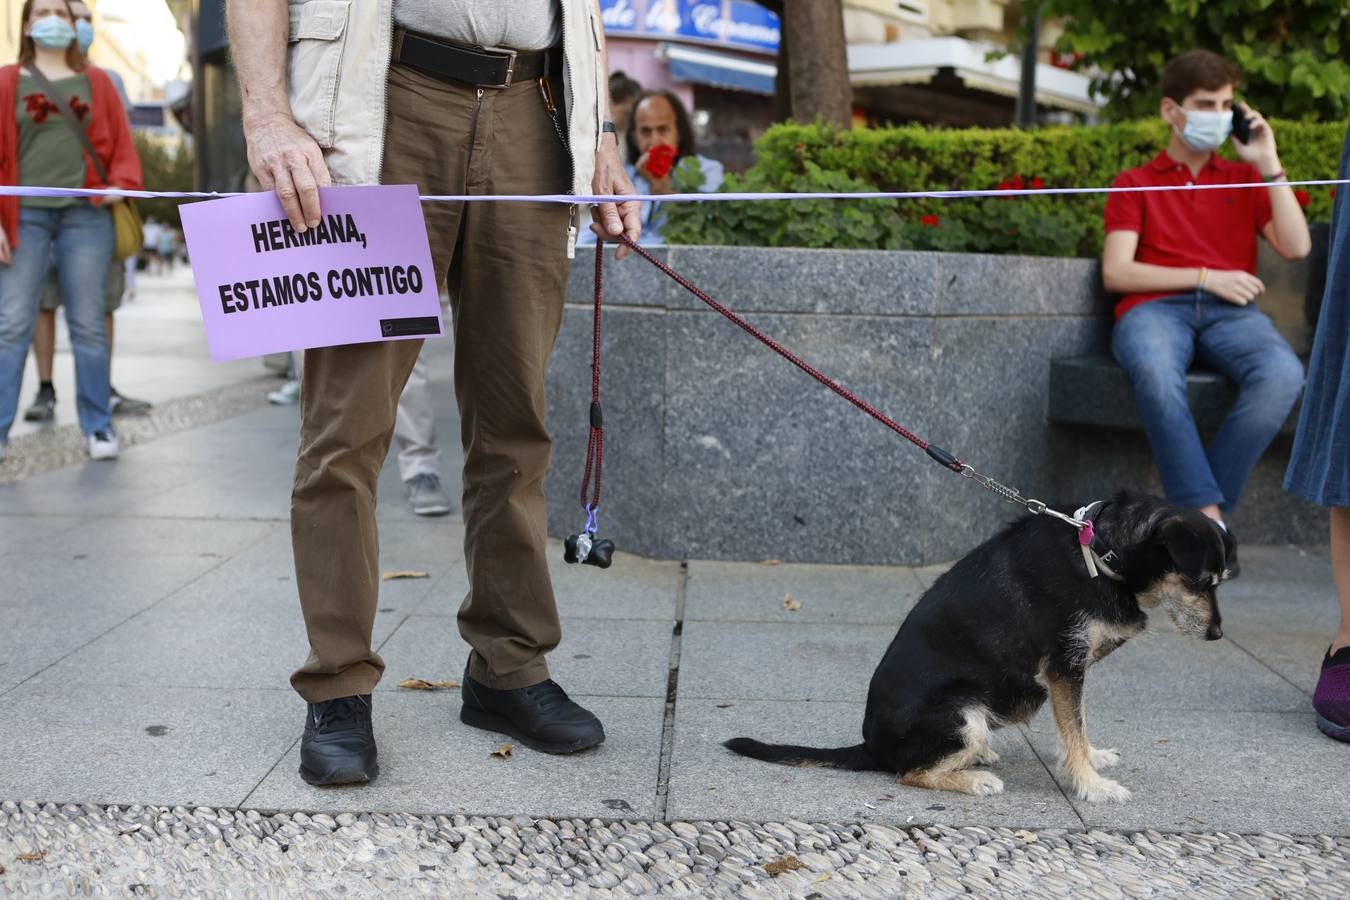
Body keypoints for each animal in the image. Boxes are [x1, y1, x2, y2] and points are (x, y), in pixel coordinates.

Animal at [729, 493, 1236, 804]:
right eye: (1199, 582)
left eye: (1221, 582)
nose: (1217, 635)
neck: (1100, 550)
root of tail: (871, 746)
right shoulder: (1064, 667)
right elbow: (1073, 729)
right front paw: (1092, 785)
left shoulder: (1070, 673)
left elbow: (1078, 725)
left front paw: (1092, 759)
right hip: (962, 714)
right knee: (909, 773)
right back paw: (974, 778)